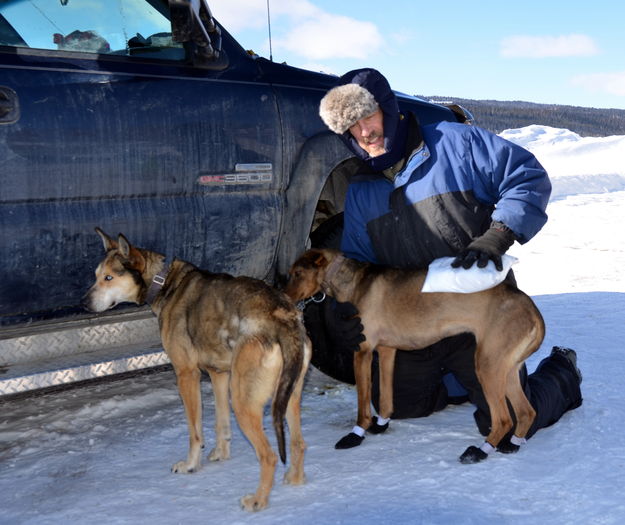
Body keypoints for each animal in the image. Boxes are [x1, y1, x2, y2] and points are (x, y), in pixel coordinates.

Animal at [83, 227, 312, 510]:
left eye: (109, 277)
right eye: (96, 276)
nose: (83, 303)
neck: (164, 281)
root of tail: (283, 318)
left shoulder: (186, 374)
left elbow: (195, 431)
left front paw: (191, 464)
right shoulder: (219, 374)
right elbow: (221, 424)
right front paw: (221, 453)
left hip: (244, 402)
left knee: (268, 456)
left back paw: (258, 500)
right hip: (288, 394)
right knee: (299, 443)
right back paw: (295, 479)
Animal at [286, 248, 544, 460]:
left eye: (297, 272)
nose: (285, 298)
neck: (354, 280)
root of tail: (532, 310)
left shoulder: (363, 351)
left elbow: (362, 406)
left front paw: (356, 433)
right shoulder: (387, 351)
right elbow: (386, 398)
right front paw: (381, 424)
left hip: (487, 366)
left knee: (503, 419)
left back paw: (480, 451)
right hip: (507, 369)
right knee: (526, 412)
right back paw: (513, 444)